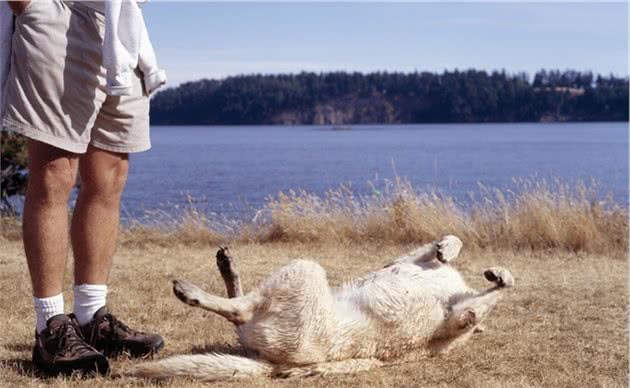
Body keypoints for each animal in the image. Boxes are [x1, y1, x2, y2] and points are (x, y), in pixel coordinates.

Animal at [131, 235, 516, 380]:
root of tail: (272, 364)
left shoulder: (459, 320)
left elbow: (494, 297)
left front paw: (502, 276)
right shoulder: (404, 260)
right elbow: (451, 241)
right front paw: (447, 249)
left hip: (304, 271)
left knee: (241, 310)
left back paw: (192, 291)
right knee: (241, 308)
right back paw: (227, 266)